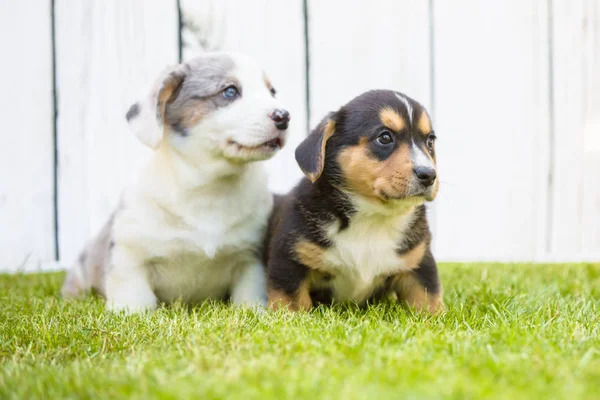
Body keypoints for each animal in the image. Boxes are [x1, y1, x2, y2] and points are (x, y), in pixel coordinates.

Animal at [59, 51, 290, 312]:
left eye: (271, 91)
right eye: (230, 91)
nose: (284, 117)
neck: (209, 189)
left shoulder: (249, 259)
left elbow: (249, 297)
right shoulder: (129, 258)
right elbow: (137, 301)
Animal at [264, 90, 442, 312]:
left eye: (430, 141)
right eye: (385, 137)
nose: (429, 175)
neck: (373, 217)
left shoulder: (420, 264)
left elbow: (428, 301)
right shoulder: (289, 261)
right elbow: (293, 305)